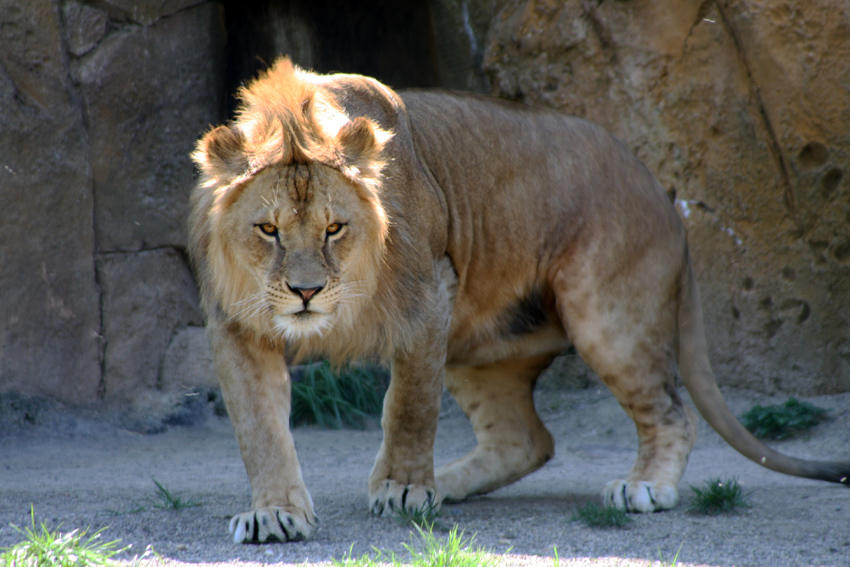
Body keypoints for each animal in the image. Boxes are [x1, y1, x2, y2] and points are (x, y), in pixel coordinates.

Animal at [187, 58, 848, 544]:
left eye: (334, 229)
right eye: (268, 230)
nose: (306, 292)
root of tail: (662, 194)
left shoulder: (428, 298)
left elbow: (409, 406)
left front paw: (403, 488)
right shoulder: (235, 325)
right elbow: (259, 428)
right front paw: (276, 513)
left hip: (604, 315)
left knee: (670, 412)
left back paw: (641, 489)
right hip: (476, 342)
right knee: (527, 439)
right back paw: (449, 484)